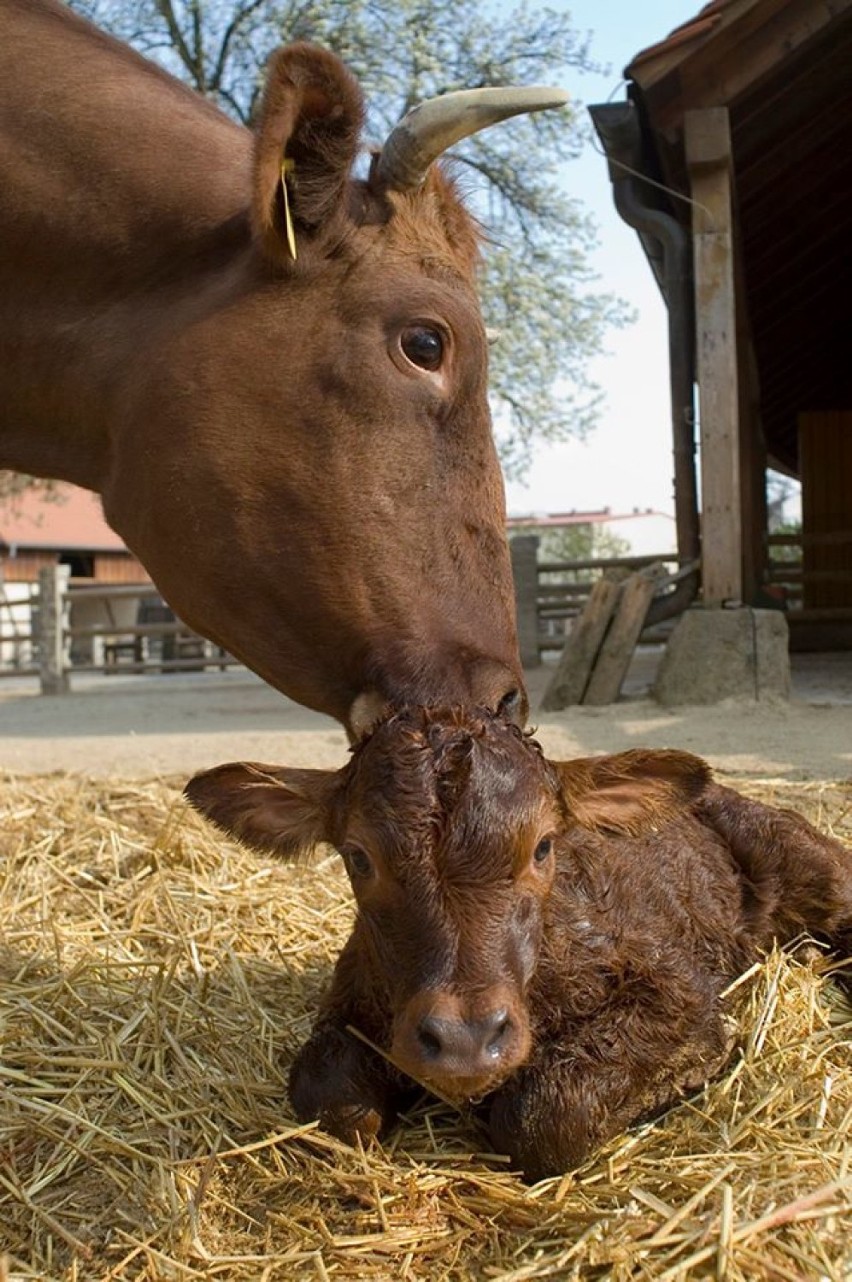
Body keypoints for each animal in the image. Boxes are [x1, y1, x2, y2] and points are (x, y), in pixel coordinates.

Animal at [185, 707, 850, 1184]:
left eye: (543, 847)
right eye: (358, 857)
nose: (465, 1039)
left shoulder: (681, 993)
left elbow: (542, 1116)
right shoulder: (349, 1001)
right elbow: (329, 1098)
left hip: (801, 857)